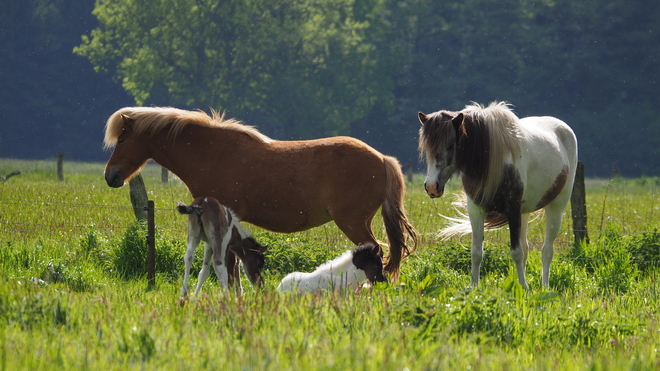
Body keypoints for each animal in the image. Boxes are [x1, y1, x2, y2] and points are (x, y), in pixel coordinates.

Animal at [103, 107, 418, 282]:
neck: (211, 153)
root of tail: (382, 159)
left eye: (123, 138)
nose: (110, 176)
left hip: (353, 223)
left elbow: (228, 267)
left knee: (376, 254)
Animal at [418, 102, 576, 290]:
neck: (490, 159)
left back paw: (544, 286)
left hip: (556, 207)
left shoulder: (512, 209)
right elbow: (476, 252)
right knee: (527, 247)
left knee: (547, 250)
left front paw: (523, 287)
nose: (431, 187)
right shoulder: (476, 210)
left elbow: (516, 252)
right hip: (524, 212)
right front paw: (473, 286)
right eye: (426, 147)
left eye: (450, 145)